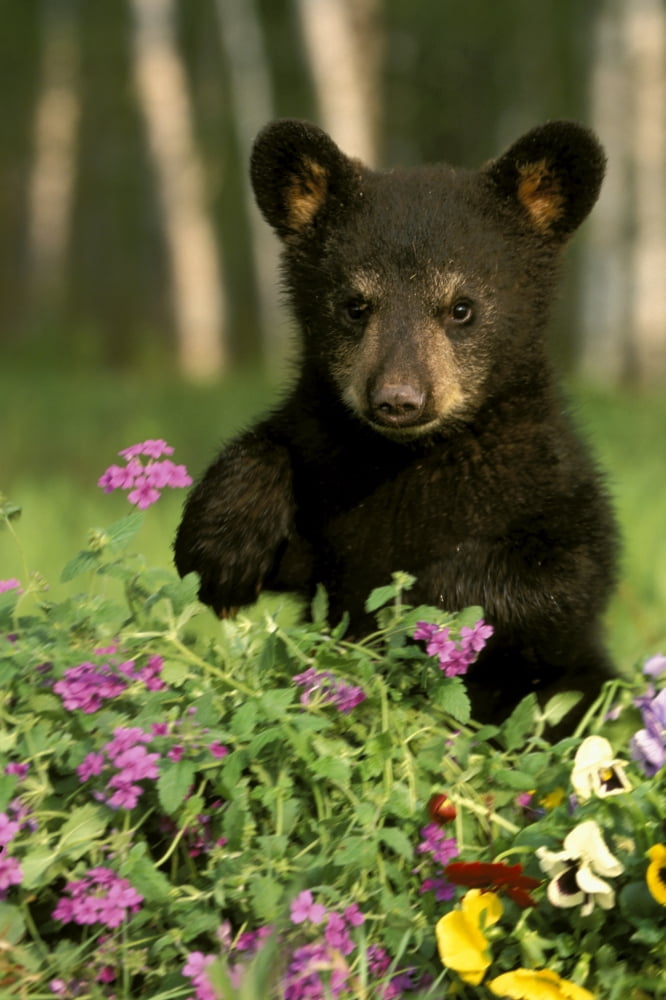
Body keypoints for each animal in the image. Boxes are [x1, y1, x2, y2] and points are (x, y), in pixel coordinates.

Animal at [174, 118, 619, 727]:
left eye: (462, 308)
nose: (397, 400)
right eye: (355, 305)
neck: (406, 458)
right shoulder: (332, 483)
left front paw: (418, 607)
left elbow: (567, 576)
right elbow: (276, 469)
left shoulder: (545, 477)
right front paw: (224, 546)